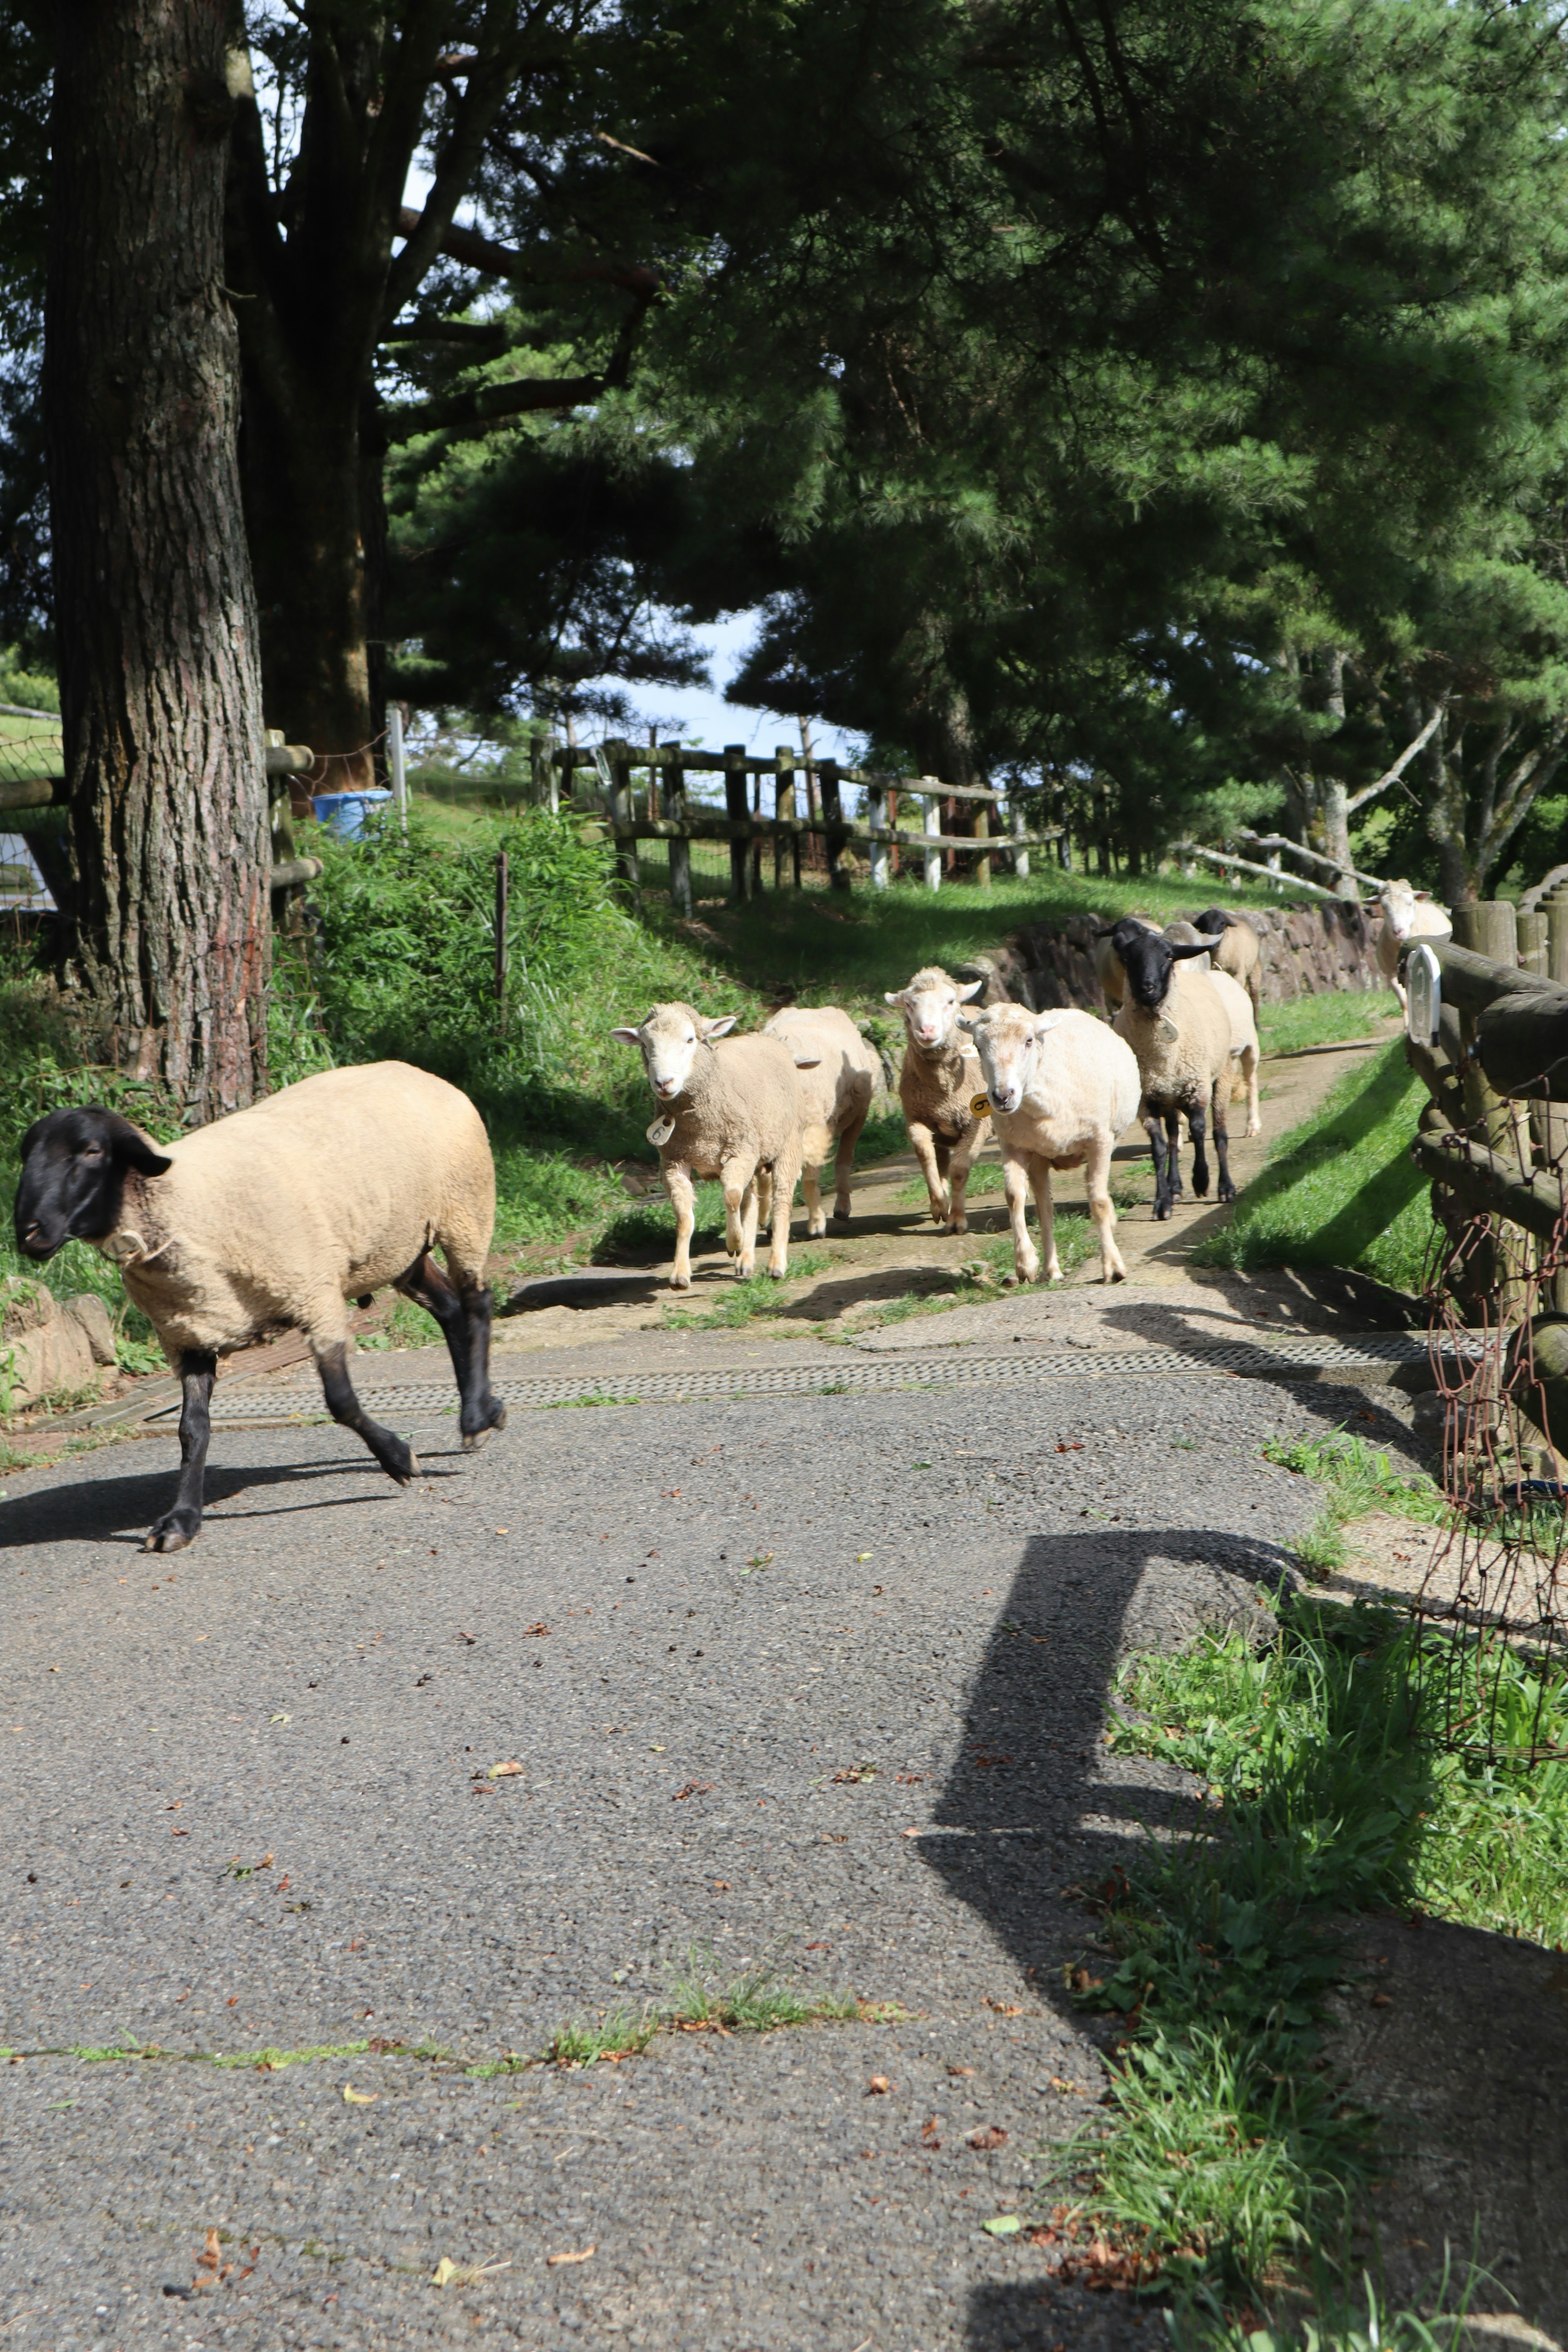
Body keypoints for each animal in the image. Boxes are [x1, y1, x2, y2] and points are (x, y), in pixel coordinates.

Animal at [12, 1063, 503, 1543]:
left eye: (91, 1151)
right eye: (26, 1156)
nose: (29, 1232)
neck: (184, 1203)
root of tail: (419, 1072)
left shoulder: (315, 1298)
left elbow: (341, 1402)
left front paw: (399, 1458)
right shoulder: (189, 1333)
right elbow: (192, 1430)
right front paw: (182, 1520)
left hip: (465, 1209)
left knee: (477, 1303)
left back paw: (477, 1419)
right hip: (400, 1246)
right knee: (450, 1310)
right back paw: (481, 1409)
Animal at [611, 997, 832, 1289]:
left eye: (690, 1039)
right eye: (646, 1045)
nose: (664, 1083)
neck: (699, 1128)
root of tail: (770, 1040)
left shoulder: (740, 1151)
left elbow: (731, 1197)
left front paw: (734, 1242)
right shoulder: (674, 1162)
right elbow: (685, 1218)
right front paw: (680, 1273)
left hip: (787, 1144)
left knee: (781, 1200)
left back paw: (776, 1264)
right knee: (752, 1201)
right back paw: (747, 1259)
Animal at [762, 1007, 884, 1232]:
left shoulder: (817, 1130)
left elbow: (810, 1176)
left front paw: (817, 1222)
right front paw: (768, 1218)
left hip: (858, 1113)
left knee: (844, 1158)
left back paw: (842, 1207)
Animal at [959, 997, 1142, 1289]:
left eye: (1029, 1041)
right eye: (978, 1046)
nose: (1002, 1096)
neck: (1043, 1104)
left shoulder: (1099, 1141)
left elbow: (1099, 1203)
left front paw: (1113, 1267)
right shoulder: (1013, 1146)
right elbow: (1014, 1197)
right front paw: (1025, 1263)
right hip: (1039, 1156)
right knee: (1045, 1209)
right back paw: (1051, 1269)